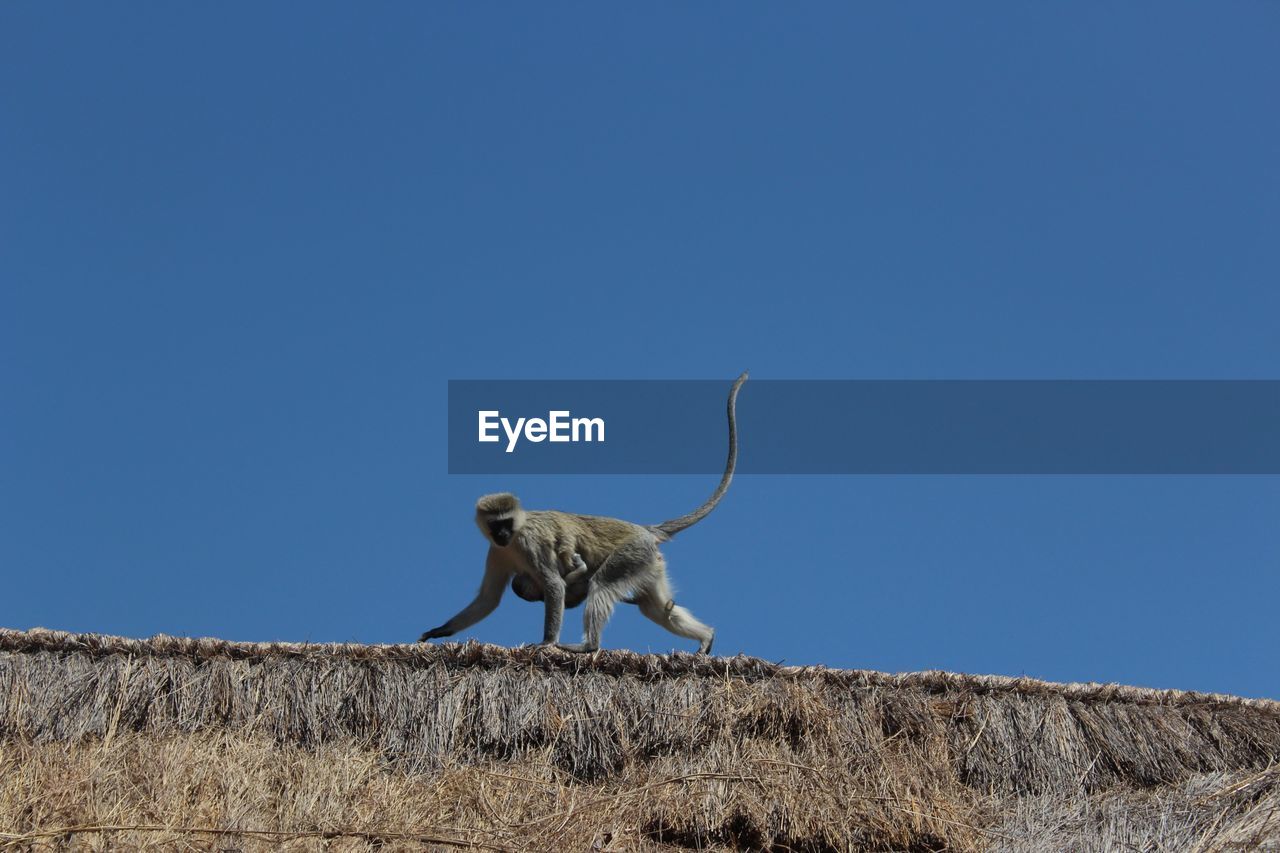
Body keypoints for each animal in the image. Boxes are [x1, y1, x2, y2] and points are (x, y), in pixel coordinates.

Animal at [417, 368, 747, 653]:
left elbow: (553, 586)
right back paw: (705, 637)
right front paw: (441, 630)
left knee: (602, 584)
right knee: (654, 608)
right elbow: (488, 600)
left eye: (507, 523)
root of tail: (644, 529)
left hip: (632, 553)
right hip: (649, 563)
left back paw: (589, 645)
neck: (515, 537)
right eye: (496, 525)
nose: (501, 534)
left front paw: (547, 643)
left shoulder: (529, 543)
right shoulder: (496, 551)